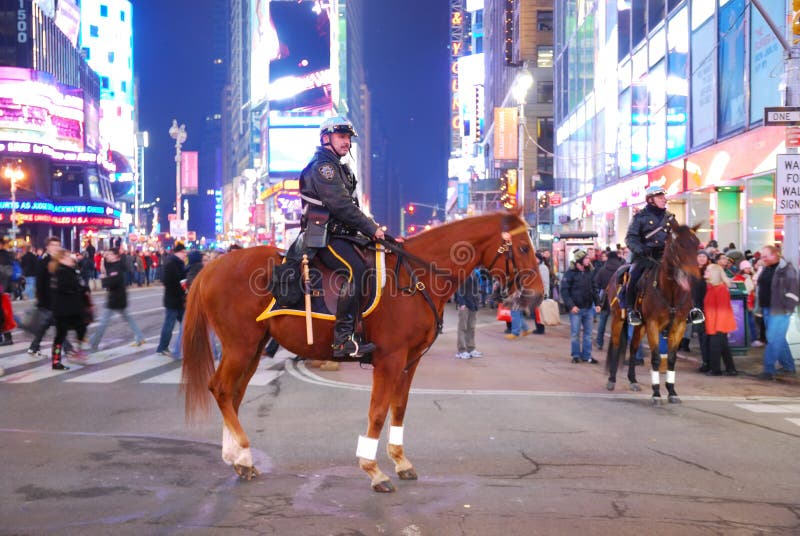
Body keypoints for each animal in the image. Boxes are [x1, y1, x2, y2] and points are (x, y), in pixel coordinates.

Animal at [181, 209, 544, 490]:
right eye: (523, 246)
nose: (538, 296)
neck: (416, 277)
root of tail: (212, 267)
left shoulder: (410, 361)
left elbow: (399, 408)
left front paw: (400, 461)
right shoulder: (389, 360)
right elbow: (378, 412)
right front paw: (374, 471)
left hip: (253, 348)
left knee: (235, 394)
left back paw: (238, 459)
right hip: (239, 346)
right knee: (221, 388)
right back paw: (242, 452)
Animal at [608, 224, 700, 404]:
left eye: (697, 243)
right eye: (678, 245)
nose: (693, 273)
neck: (670, 290)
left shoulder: (678, 325)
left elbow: (671, 358)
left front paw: (671, 391)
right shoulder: (652, 324)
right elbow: (656, 358)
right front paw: (656, 393)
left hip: (640, 325)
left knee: (633, 347)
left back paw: (633, 380)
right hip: (618, 318)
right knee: (616, 345)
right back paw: (612, 379)